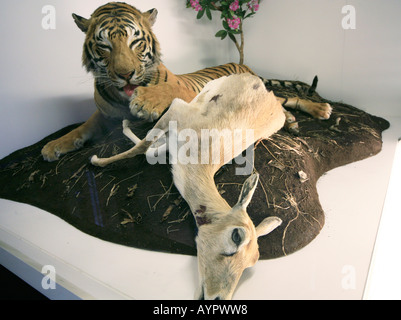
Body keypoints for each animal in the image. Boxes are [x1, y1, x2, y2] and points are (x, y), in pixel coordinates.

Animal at [40, 1, 330, 162]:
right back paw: (291, 121)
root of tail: (241, 63)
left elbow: (168, 89)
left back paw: (320, 109)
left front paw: (147, 101)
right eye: (104, 46)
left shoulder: (188, 96)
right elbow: (82, 127)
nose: (125, 74)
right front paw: (54, 146)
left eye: (135, 42)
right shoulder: (104, 114)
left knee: (289, 98)